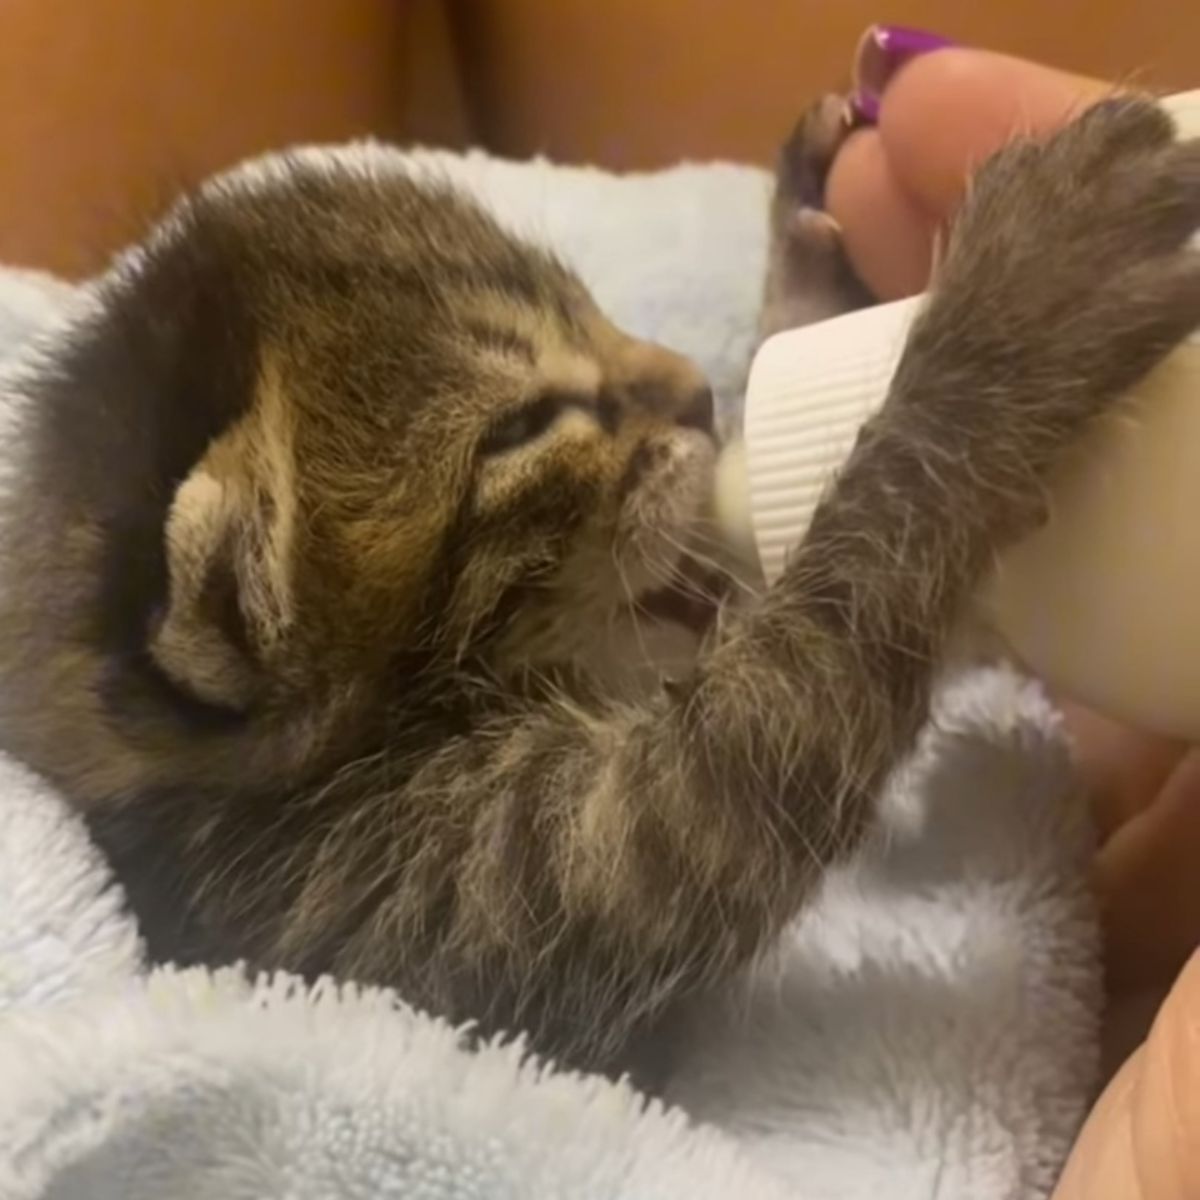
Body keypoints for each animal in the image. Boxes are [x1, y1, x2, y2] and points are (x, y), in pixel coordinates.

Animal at [0, 98, 1195, 1075]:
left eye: (587, 309)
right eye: (524, 428)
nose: (698, 391)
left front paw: (805, 278)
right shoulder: (414, 891)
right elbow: (723, 781)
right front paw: (1004, 325)